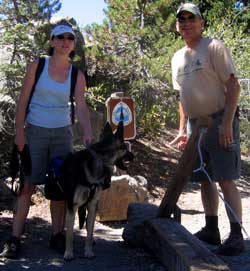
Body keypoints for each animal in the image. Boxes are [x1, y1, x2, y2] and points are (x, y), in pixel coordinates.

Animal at [60, 122, 134, 260]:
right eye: (126, 149)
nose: (133, 156)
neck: (99, 159)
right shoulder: (72, 206)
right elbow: (70, 234)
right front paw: (68, 252)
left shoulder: (93, 204)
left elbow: (90, 231)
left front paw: (88, 251)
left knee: (89, 226)